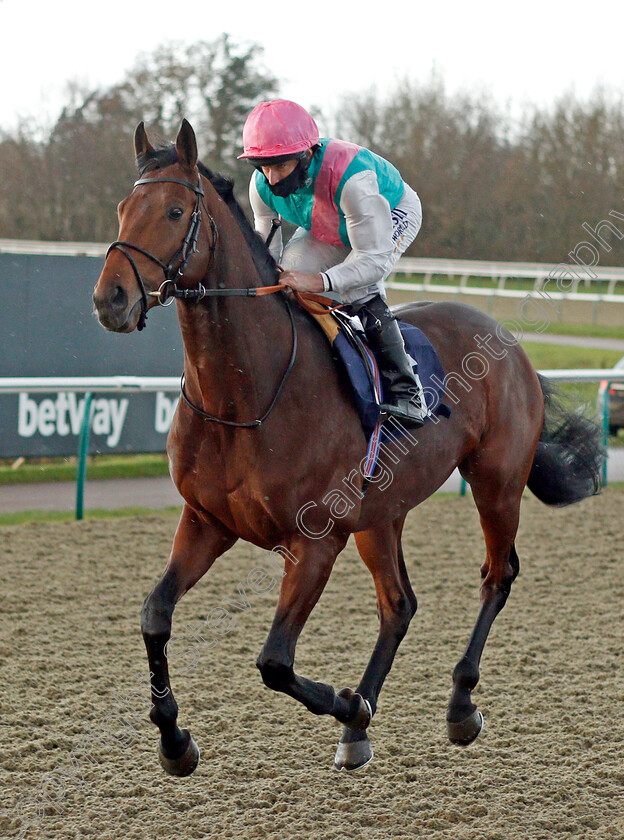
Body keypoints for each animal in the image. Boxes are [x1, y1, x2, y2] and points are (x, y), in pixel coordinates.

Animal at [92, 118, 604, 776]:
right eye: (123, 209)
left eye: (176, 211)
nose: (109, 299)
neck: (246, 396)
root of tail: (509, 342)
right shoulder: (207, 520)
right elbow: (155, 615)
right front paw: (174, 741)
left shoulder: (315, 542)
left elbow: (274, 661)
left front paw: (348, 704)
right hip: (381, 511)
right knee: (399, 603)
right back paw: (360, 726)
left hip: (496, 481)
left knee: (497, 575)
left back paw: (459, 705)